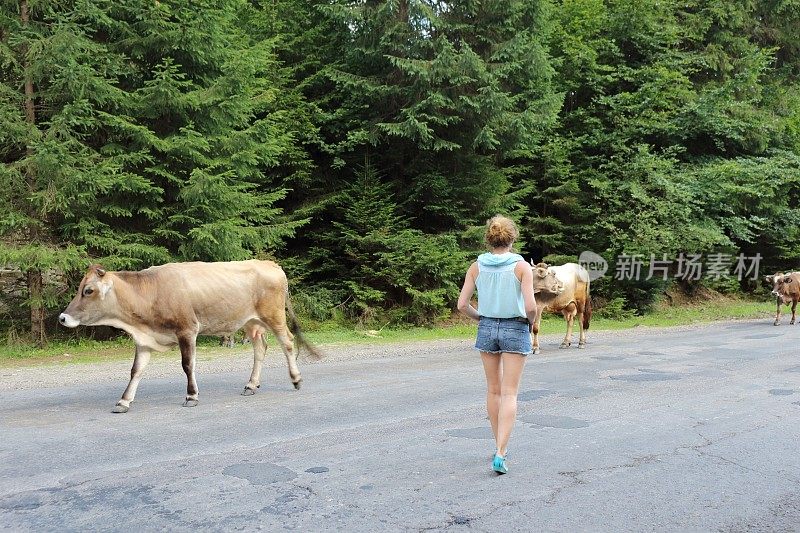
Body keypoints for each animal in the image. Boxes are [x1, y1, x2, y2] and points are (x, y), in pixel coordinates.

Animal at [57, 260, 320, 414]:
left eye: (88, 290)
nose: (62, 318)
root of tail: (270, 263)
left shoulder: (187, 330)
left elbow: (187, 364)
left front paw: (192, 395)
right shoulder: (144, 339)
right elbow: (136, 371)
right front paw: (123, 401)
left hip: (273, 316)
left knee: (287, 342)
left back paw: (296, 379)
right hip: (251, 322)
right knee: (260, 348)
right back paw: (251, 384)